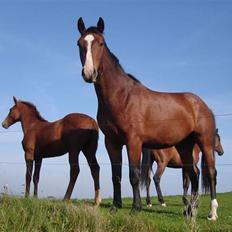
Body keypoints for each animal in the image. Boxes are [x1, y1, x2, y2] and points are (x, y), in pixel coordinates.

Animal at [77, 17, 218, 220]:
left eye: (101, 43)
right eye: (79, 44)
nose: (89, 73)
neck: (121, 96)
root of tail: (202, 105)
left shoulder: (133, 141)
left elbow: (134, 175)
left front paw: (136, 208)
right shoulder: (112, 142)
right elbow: (116, 175)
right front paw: (115, 206)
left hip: (205, 142)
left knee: (211, 173)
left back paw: (212, 213)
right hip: (185, 146)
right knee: (192, 174)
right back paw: (190, 210)